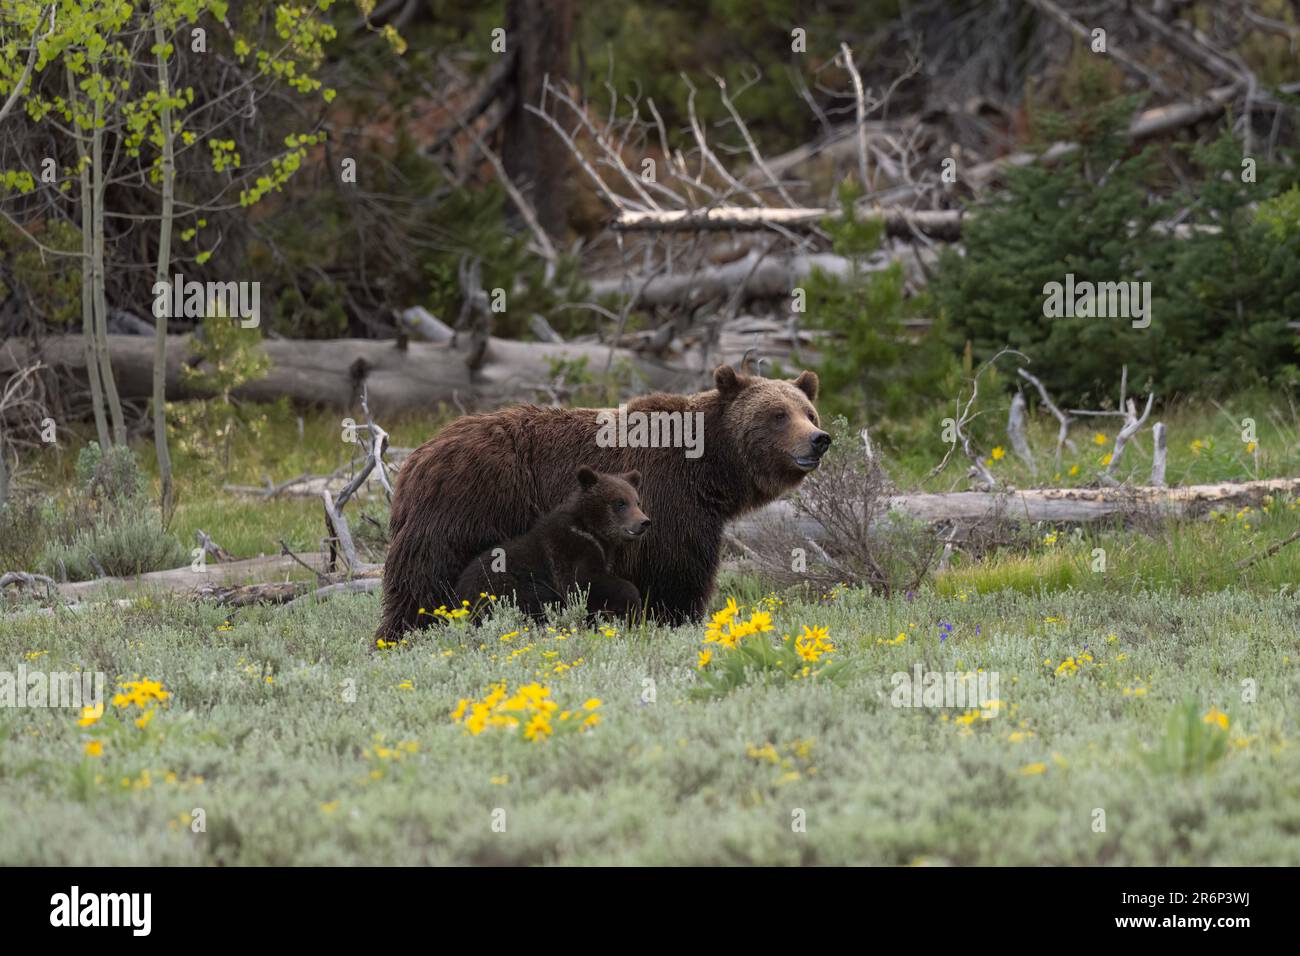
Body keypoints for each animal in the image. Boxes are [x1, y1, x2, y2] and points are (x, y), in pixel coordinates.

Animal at [452, 468, 650, 621]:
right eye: (620, 503)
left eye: (637, 501)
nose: (644, 522)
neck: (592, 530)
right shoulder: (569, 550)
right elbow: (583, 583)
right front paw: (633, 604)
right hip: (508, 586)